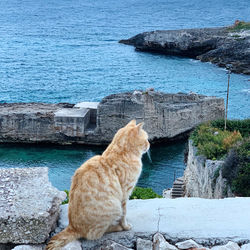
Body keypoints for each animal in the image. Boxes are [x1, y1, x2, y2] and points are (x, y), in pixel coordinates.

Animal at [46, 120, 149, 249]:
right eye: (146, 139)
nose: (149, 144)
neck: (123, 153)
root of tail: (73, 227)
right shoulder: (125, 194)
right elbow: (124, 214)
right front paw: (125, 226)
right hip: (114, 206)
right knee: (97, 233)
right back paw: (117, 227)